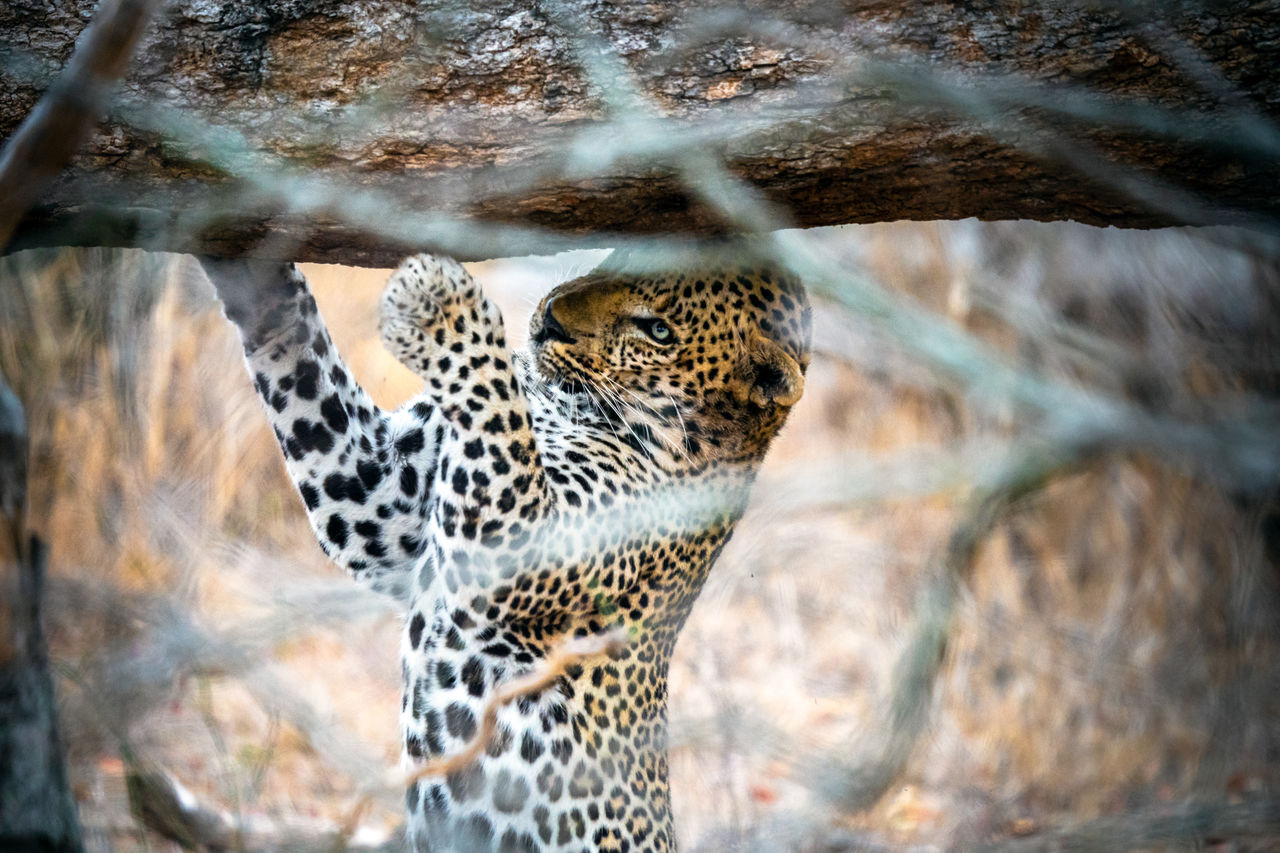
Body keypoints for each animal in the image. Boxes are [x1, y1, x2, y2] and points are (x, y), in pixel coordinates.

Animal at [204, 247, 814, 850]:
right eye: (626, 255)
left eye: (658, 330)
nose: (552, 322)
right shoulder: (380, 498)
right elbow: (303, 363)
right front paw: (250, 265)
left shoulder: (522, 537)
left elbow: (496, 402)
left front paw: (441, 304)